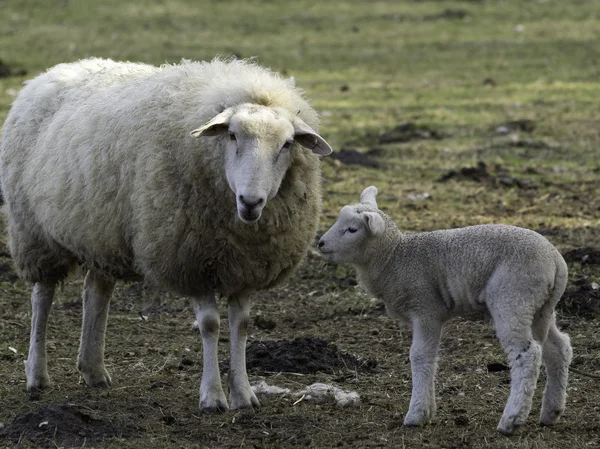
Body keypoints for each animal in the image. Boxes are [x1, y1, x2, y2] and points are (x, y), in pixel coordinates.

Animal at [0, 57, 332, 412]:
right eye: (231, 135)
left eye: (287, 144)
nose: (251, 201)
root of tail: (54, 71)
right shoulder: (191, 260)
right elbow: (210, 325)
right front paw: (212, 396)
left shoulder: (245, 266)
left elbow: (241, 326)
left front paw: (243, 394)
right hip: (33, 231)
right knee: (42, 297)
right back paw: (37, 376)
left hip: (101, 232)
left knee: (96, 292)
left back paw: (93, 370)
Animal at [318, 185, 572, 434]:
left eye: (352, 229)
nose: (320, 243)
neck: (394, 258)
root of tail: (556, 261)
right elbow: (429, 355)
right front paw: (427, 411)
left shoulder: (426, 308)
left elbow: (420, 355)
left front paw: (417, 414)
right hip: (540, 308)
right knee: (558, 348)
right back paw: (551, 412)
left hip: (513, 298)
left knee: (527, 354)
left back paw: (512, 419)